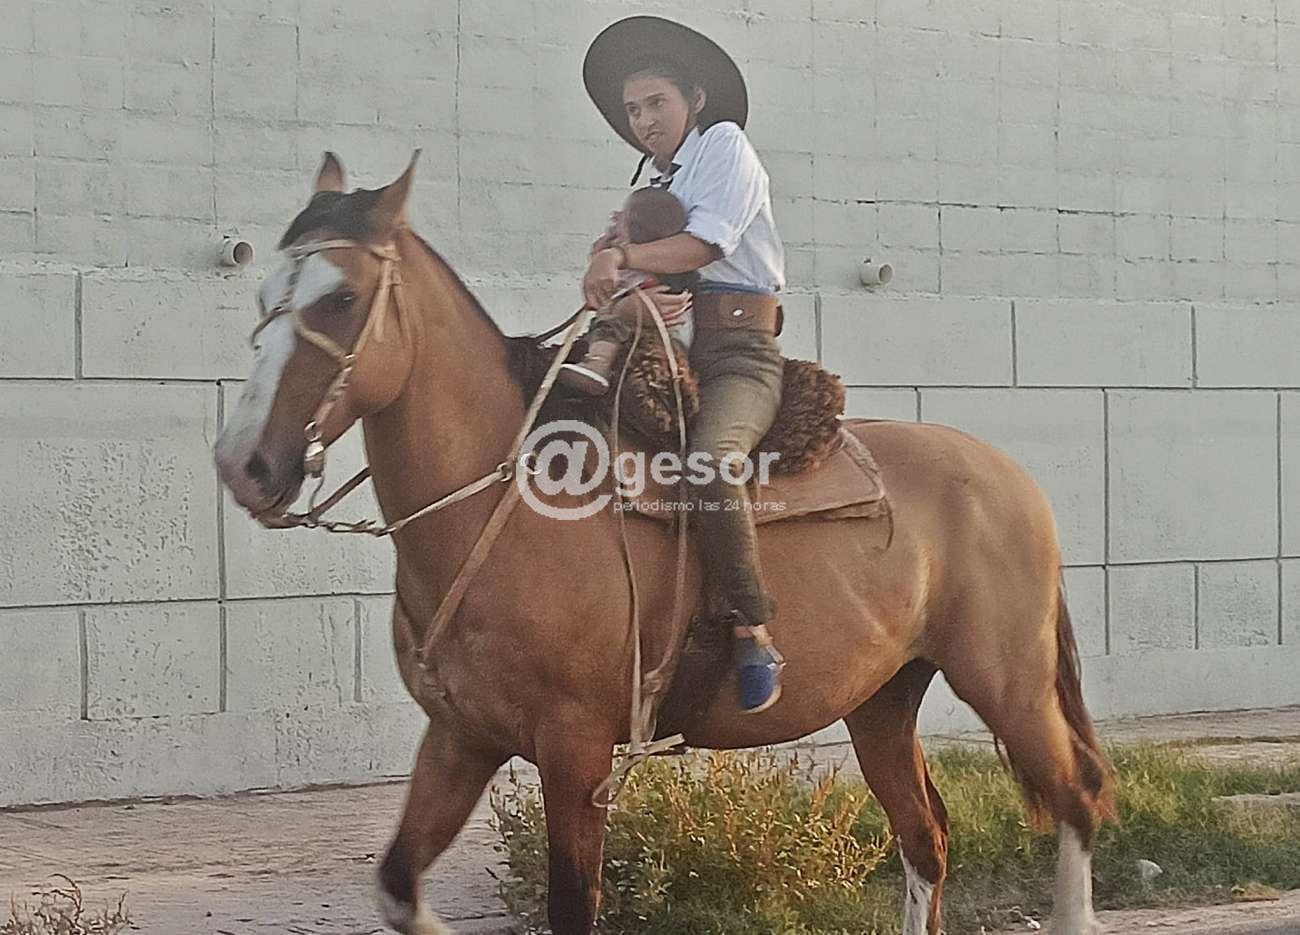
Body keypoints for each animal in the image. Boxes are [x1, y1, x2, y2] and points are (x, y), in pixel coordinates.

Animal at [214, 153, 1113, 935]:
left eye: (340, 298)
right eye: (264, 290)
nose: (244, 464)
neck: (507, 502)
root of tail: (1012, 479)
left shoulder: (576, 750)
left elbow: (572, 905)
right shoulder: (461, 737)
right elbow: (399, 884)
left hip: (1007, 680)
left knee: (1075, 797)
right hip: (883, 699)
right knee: (927, 833)